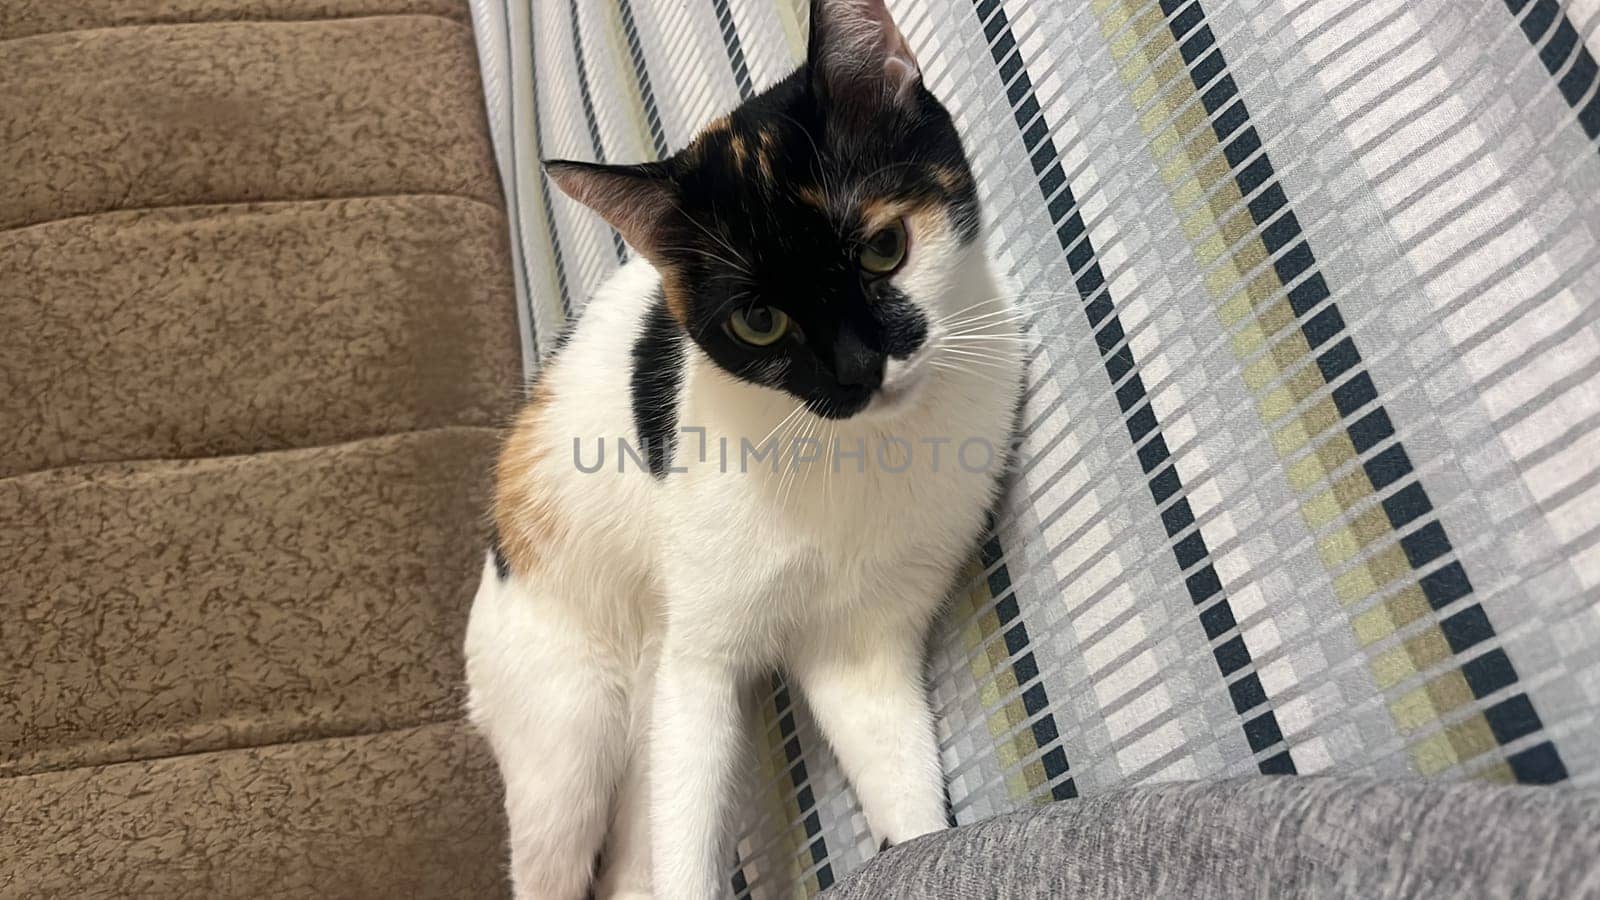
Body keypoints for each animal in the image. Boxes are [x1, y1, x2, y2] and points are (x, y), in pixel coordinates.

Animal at [464, 3, 1030, 890]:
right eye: (759, 321)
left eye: (885, 248)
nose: (859, 369)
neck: (857, 451)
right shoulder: (699, 663)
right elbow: (687, 856)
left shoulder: (861, 650)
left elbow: (904, 790)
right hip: (571, 732)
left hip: (644, 717)